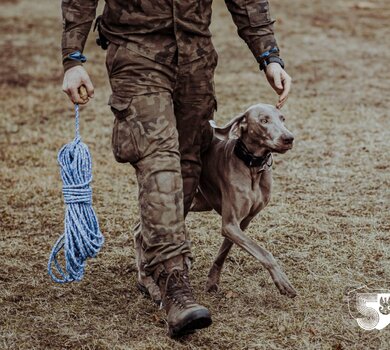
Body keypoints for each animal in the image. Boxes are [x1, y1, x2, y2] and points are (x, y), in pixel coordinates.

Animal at [136, 104, 298, 304]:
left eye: (282, 119)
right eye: (264, 120)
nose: (289, 138)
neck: (252, 167)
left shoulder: (242, 223)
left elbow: (224, 251)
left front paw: (212, 280)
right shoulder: (230, 224)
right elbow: (263, 252)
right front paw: (282, 281)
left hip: (197, 201)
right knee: (141, 232)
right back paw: (147, 282)